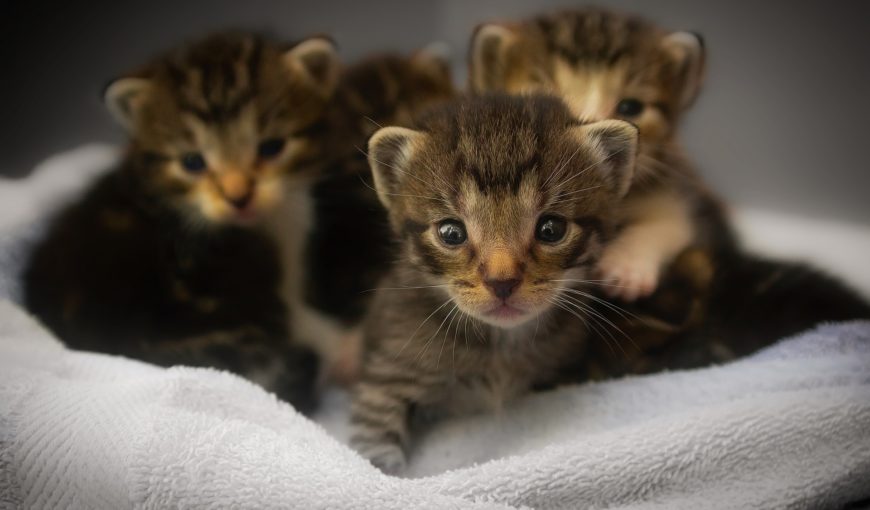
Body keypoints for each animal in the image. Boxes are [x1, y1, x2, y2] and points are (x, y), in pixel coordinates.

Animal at [350, 93, 644, 472]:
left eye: (552, 229)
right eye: (451, 232)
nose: (501, 282)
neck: (500, 347)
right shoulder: (389, 375)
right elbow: (375, 449)